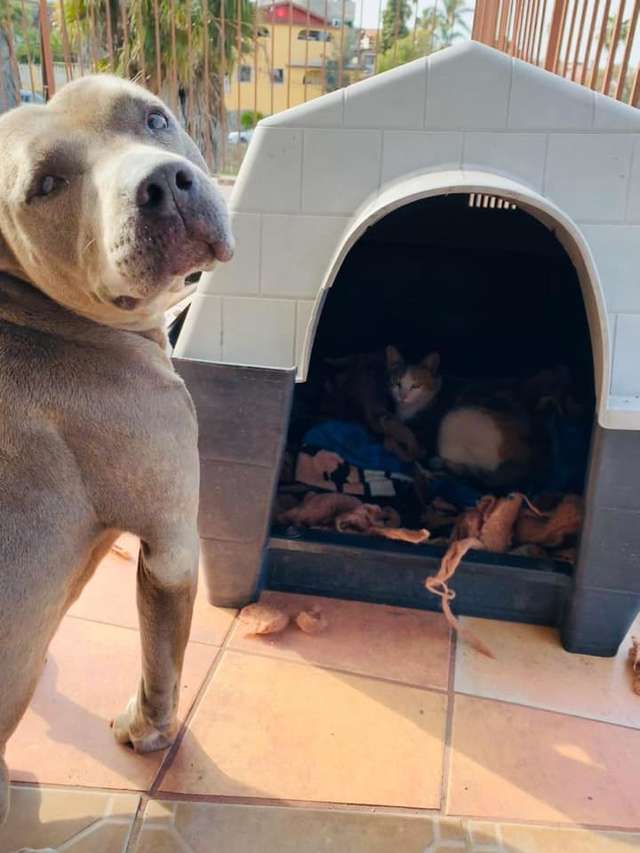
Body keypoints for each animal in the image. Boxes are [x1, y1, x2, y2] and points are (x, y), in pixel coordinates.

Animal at [0, 75, 234, 824]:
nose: (164, 184)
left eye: (154, 118)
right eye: (46, 184)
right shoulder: (171, 547)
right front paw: (148, 731)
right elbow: (163, 662)